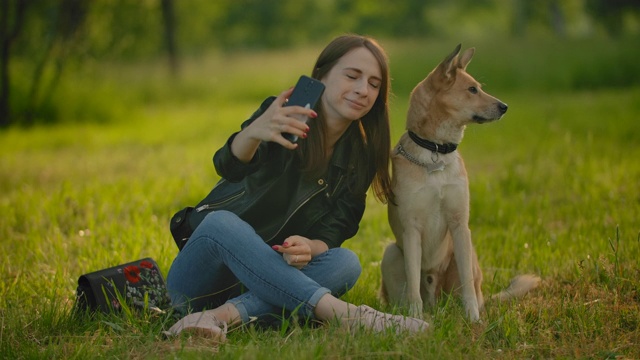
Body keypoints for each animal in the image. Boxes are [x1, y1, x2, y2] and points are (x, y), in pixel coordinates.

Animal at [380, 43, 540, 322]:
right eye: (472, 89)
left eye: (479, 87)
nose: (505, 107)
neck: (435, 152)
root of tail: (436, 303)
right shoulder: (411, 230)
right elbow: (413, 284)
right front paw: (415, 316)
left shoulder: (459, 224)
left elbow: (466, 284)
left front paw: (473, 318)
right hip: (390, 253)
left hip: (465, 252)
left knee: (470, 287)